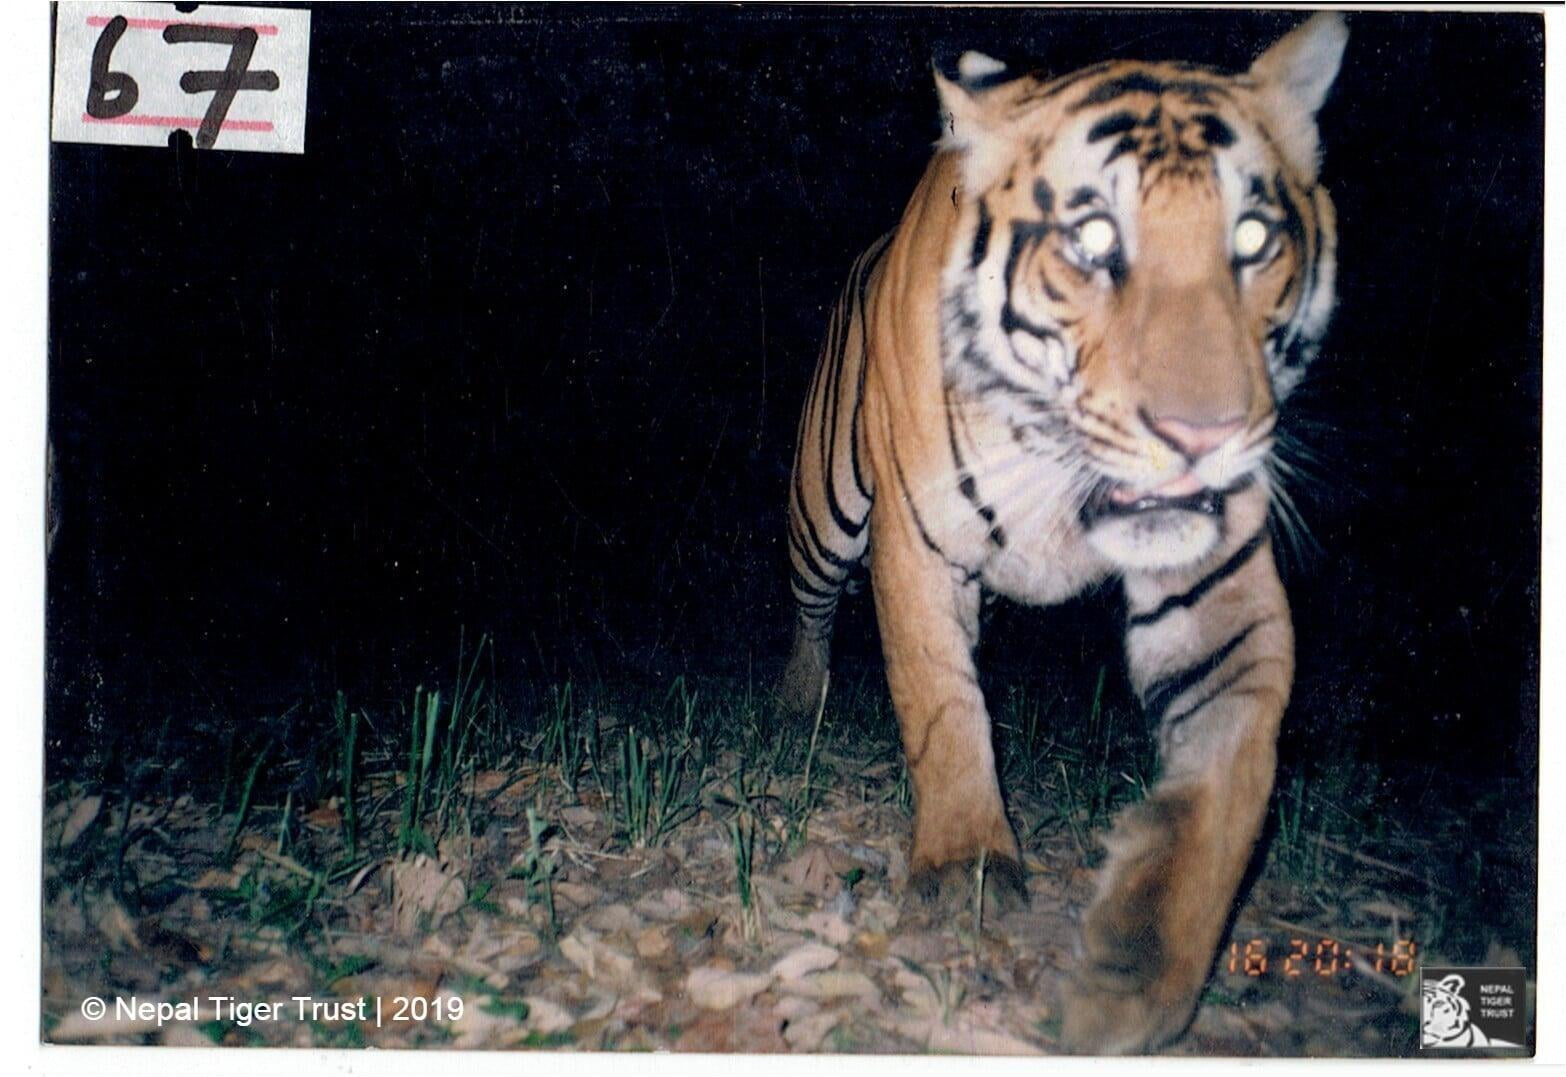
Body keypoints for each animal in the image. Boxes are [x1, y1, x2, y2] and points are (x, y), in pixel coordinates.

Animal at [776, 14, 1346, 1054]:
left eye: (1251, 237)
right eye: (1092, 240)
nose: (1203, 434)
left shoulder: (1220, 585)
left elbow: (1230, 779)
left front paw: (1136, 974)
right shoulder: (915, 544)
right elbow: (942, 702)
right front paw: (966, 864)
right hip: (825, 507)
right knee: (810, 605)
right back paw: (800, 701)